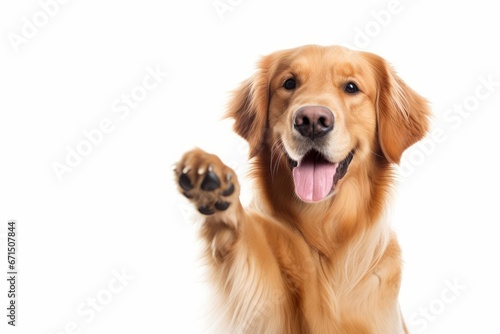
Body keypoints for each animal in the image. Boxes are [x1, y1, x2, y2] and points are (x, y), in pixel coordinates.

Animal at [174, 45, 428, 334]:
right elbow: (251, 246)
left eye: (351, 87)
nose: (312, 120)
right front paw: (210, 177)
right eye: (289, 83)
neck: (323, 227)